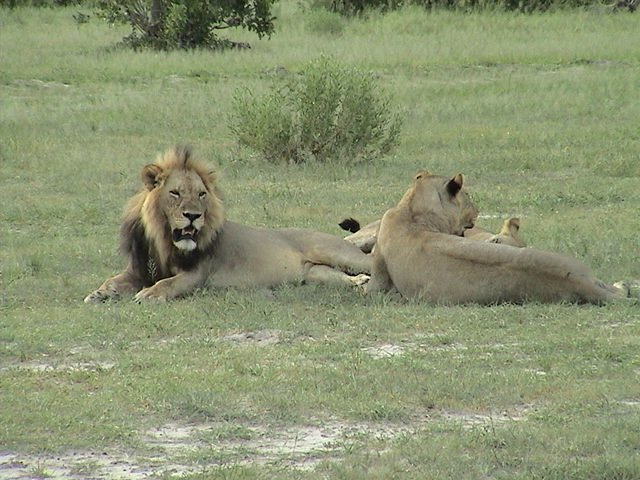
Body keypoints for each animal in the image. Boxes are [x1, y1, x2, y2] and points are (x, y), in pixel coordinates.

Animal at [84, 146, 372, 303]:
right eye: (175, 193)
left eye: (201, 194)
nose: (193, 215)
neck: (163, 239)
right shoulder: (137, 268)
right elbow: (113, 280)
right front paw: (98, 294)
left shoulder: (197, 274)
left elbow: (169, 283)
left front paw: (149, 294)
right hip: (315, 274)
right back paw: (359, 283)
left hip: (339, 254)